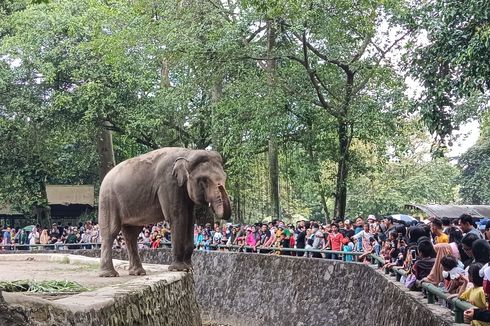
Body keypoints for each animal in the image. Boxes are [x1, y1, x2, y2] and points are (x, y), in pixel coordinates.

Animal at [98, 146, 233, 276]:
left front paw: (190, 268)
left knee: (131, 235)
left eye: (225, 177)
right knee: (111, 232)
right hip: (108, 200)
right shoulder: (168, 183)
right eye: (204, 180)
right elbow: (178, 216)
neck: (188, 153)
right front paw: (179, 269)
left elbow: (190, 219)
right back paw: (109, 274)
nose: (221, 186)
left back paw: (137, 272)